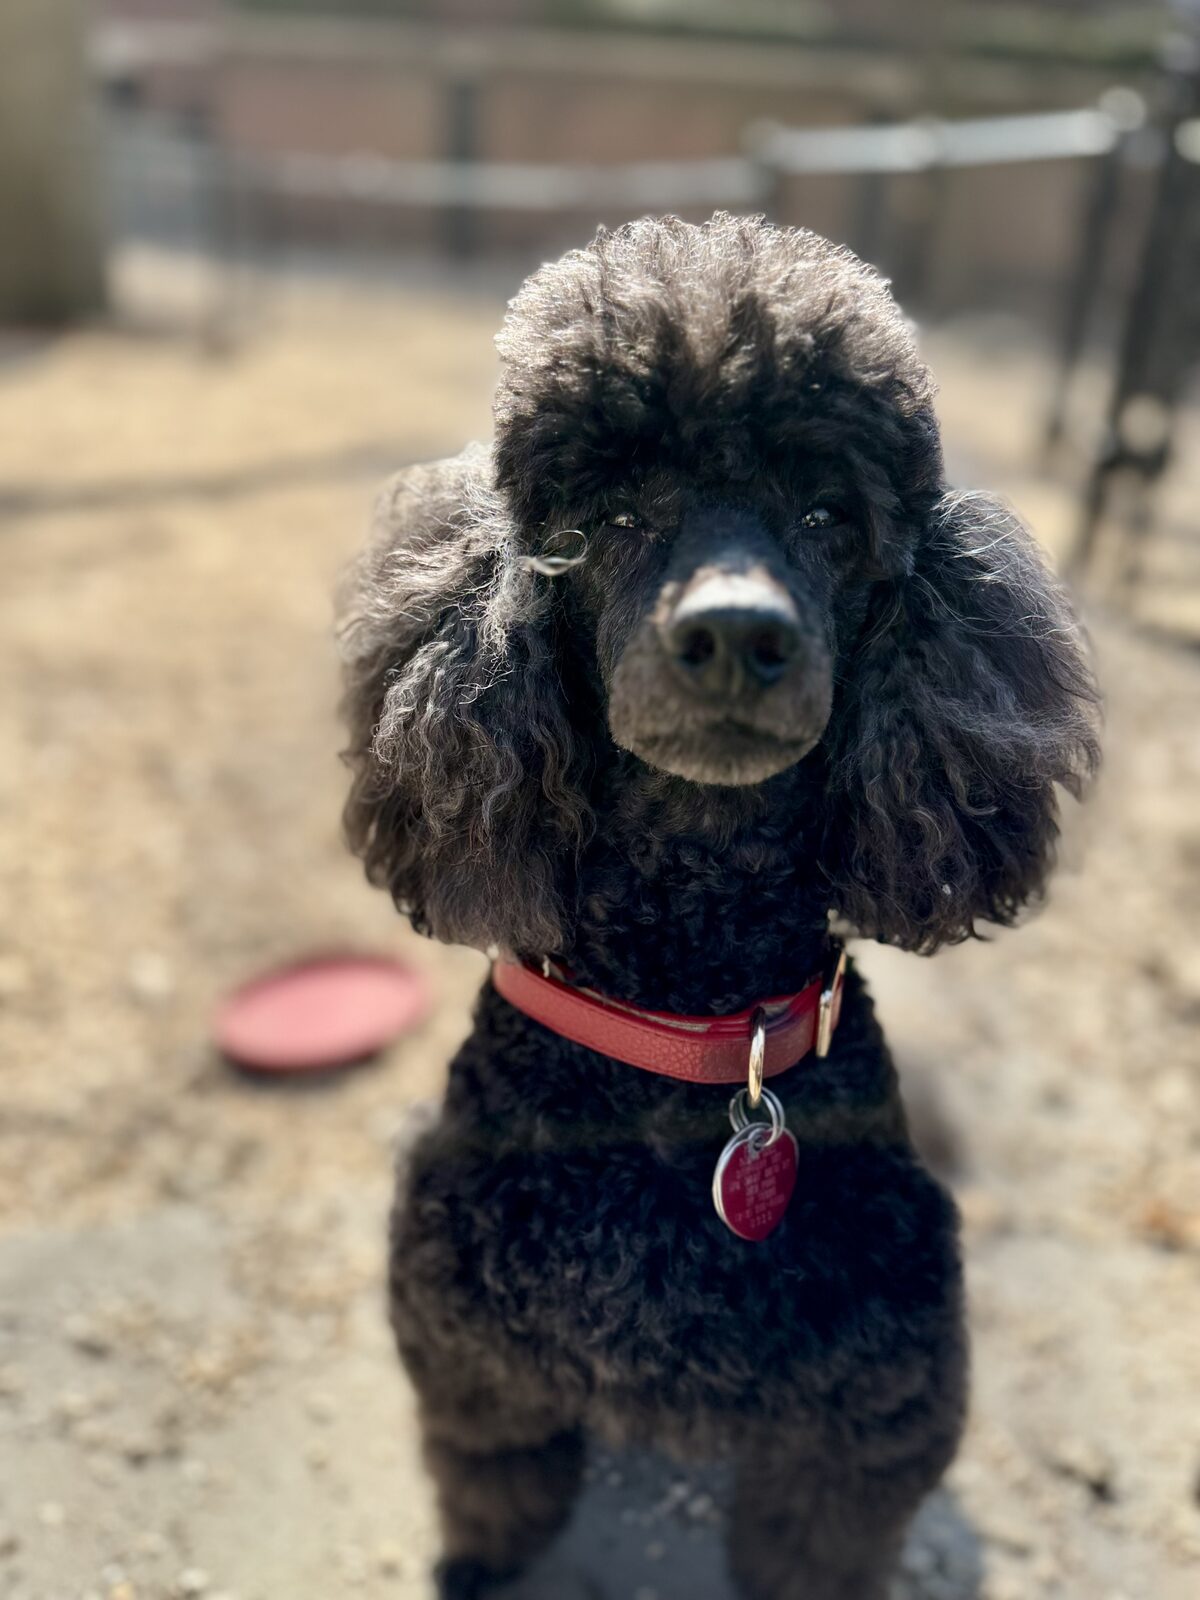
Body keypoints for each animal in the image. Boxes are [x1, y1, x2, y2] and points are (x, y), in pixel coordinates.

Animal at [337, 214, 1099, 1600]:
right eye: (613, 515)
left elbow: (814, 1545)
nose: (737, 633)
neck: (684, 1018)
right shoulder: (472, 1359)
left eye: (826, 513)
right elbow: (495, 1478)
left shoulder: (863, 1417)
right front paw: (478, 1565)